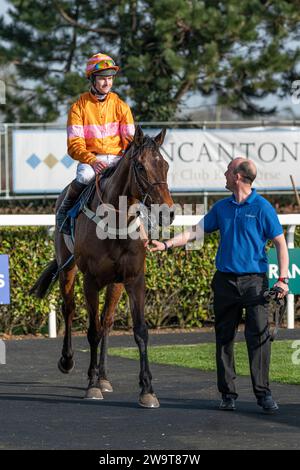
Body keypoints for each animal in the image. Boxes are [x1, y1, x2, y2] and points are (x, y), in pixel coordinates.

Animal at [29, 126, 175, 408]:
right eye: (140, 167)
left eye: (165, 165)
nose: (167, 212)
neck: (115, 222)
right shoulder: (91, 281)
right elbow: (92, 330)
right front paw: (92, 384)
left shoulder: (134, 278)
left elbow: (140, 331)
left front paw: (147, 389)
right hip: (68, 270)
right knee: (70, 311)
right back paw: (71, 362)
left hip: (115, 283)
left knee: (107, 321)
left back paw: (104, 377)